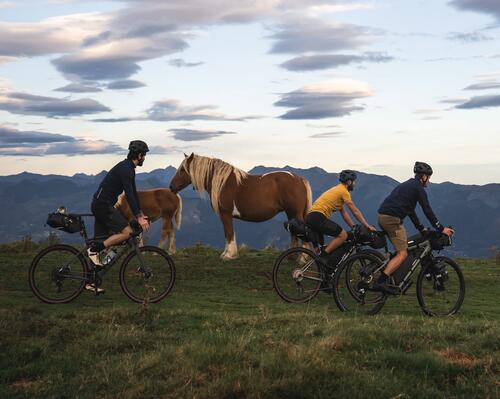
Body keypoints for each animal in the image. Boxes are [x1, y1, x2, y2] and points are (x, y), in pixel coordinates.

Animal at [170, 152, 310, 260]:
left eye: (182, 170)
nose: (171, 187)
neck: (223, 182)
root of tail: (299, 179)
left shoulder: (225, 214)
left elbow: (229, 233)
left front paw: (229, 255)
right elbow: (227, 234)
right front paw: (226, 253)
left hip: (295, 213)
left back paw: (302, 258)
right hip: (291, 213)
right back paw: (292, 257)